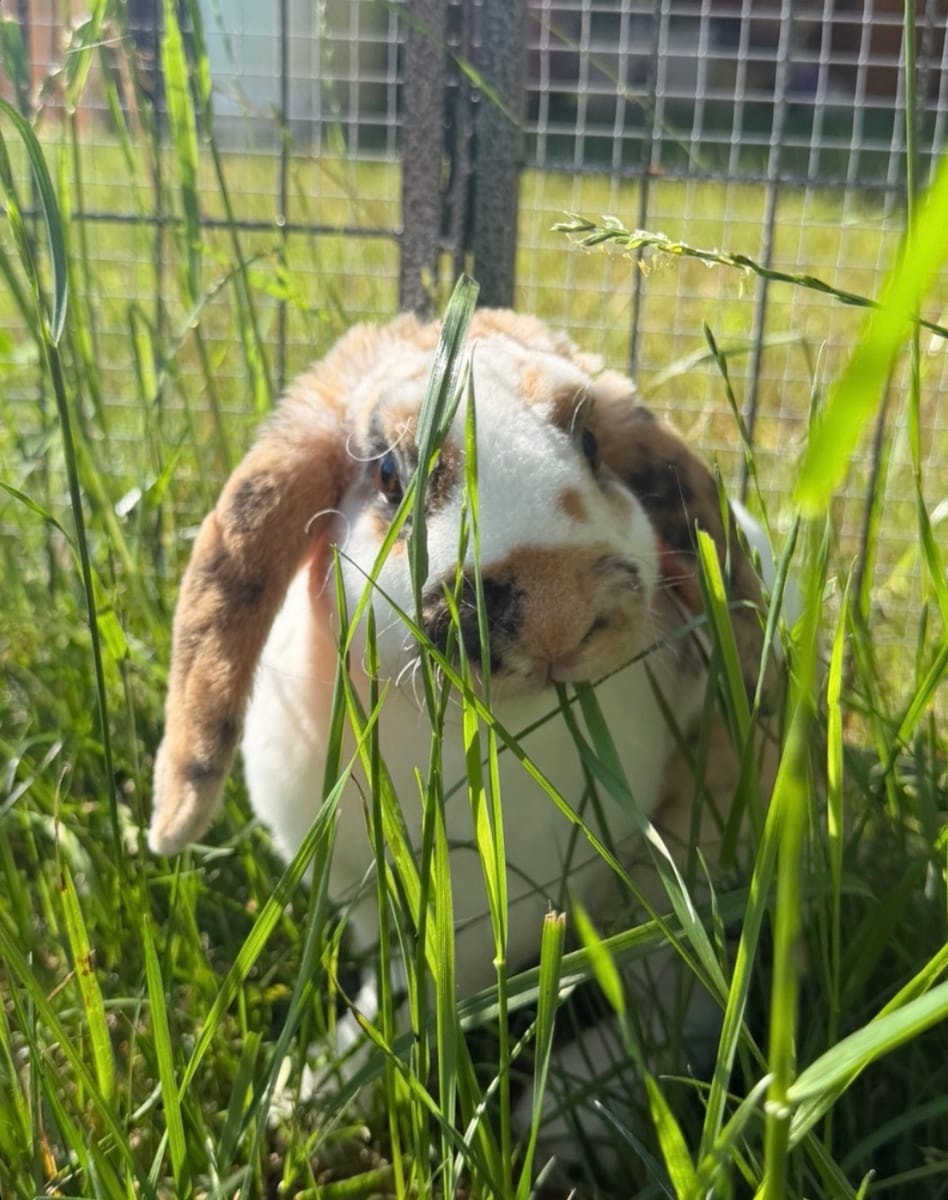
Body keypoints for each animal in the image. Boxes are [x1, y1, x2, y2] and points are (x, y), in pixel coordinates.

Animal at [149, 308, 782, 1166]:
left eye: (590, 443)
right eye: (389, 474)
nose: (556, 608)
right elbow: (396, 985)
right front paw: (309, 1095)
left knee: (680, 995)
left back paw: (564, 1117)